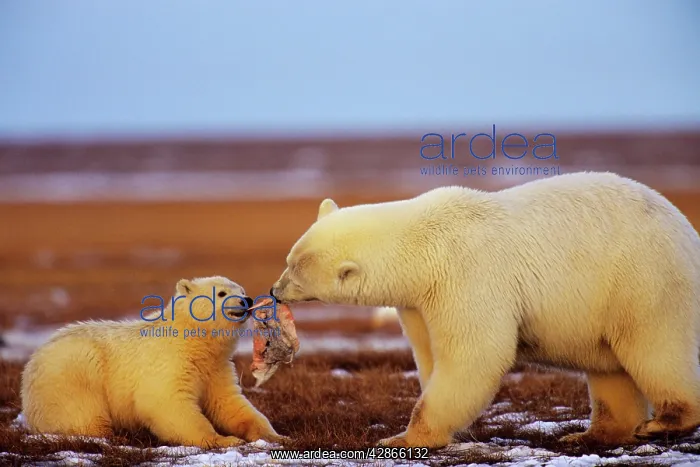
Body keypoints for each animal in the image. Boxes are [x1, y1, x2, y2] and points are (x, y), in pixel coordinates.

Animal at [21, 276, 287, 449]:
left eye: (241, 289)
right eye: (222, 293)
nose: (246, 300)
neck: (191, 340)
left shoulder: (215, 367)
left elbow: (229, 403)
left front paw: (276, 436)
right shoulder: (170, 361)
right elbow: (167, 403)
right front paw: (223, 440)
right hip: (73, 372)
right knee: (83, 413)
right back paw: (113, 436)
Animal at [269, 171, 700, 449]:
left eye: (295, 270)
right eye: (289, 259)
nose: (274, 290)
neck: (422, 242)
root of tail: (687, 231)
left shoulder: (466, 274)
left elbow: (475, 355)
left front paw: (403, 437)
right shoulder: (420, 299)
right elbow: (430, 354)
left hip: (643, 280)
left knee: (654, 347)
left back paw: (663, 423)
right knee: (610, 369)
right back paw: (592, 433)